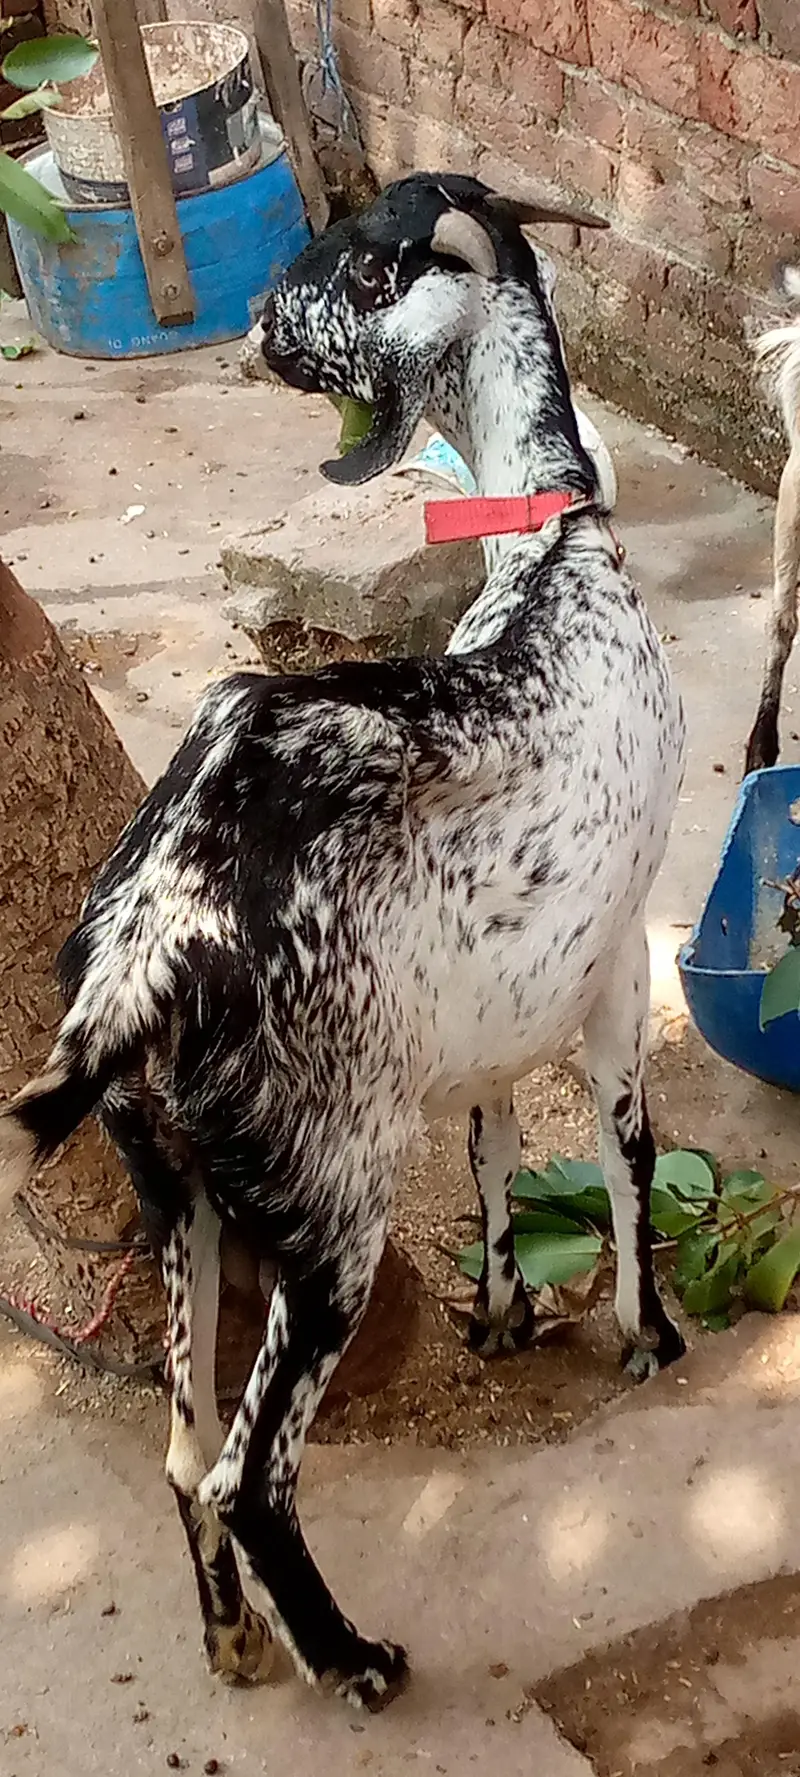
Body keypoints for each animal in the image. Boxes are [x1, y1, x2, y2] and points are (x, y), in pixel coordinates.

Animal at [0, 171, 686, 1715]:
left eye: (363, 269)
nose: (261, 329)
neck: (557, 555)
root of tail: (152, 938)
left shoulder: (490, 1011)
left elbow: (498, 1150)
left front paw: (503, 1313)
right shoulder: (621, 958)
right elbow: (625, 1151)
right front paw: (647, 1333)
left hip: (180, 1187)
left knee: (184, 1450)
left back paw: (236, 1641)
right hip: (327, 1199)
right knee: (246, 1473)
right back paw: (355, 1659)